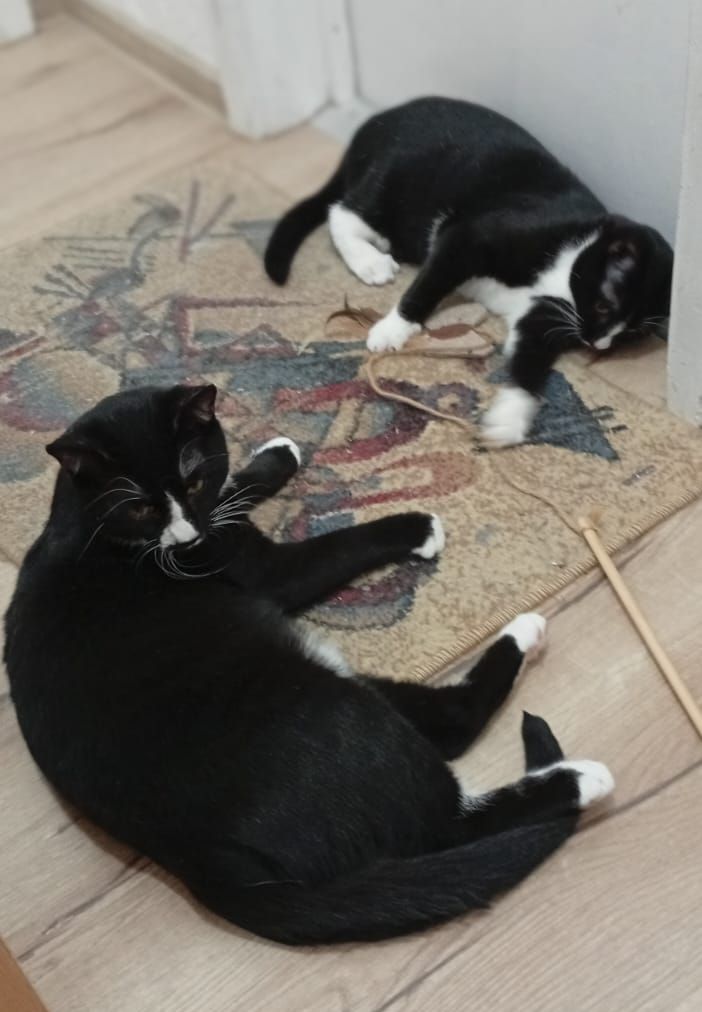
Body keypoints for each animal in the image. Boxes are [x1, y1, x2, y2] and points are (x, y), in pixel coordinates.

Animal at [4, 384, 614, 945]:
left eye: (193, 480)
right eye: (138, 506)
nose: (184, 535)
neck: (83, 525)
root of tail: (206, 861)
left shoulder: (215, 518)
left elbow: (236, 490)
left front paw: (277, 454)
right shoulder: (264, 569)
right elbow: (338, 547)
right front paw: (417, 527)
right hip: (333, 702)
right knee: (452, 772)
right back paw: (575, 760)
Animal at [264, 96, 673, 447]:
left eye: (631, 334)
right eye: (604, 306)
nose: (596, 343)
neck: (565, 266)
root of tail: (372, 125)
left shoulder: (542, 315)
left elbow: (529, 359)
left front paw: (510, 416)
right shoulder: (469, 237)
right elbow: (429, 283)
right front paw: (392, 328)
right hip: (398, 181)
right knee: (343, 210)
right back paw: (370, 261)